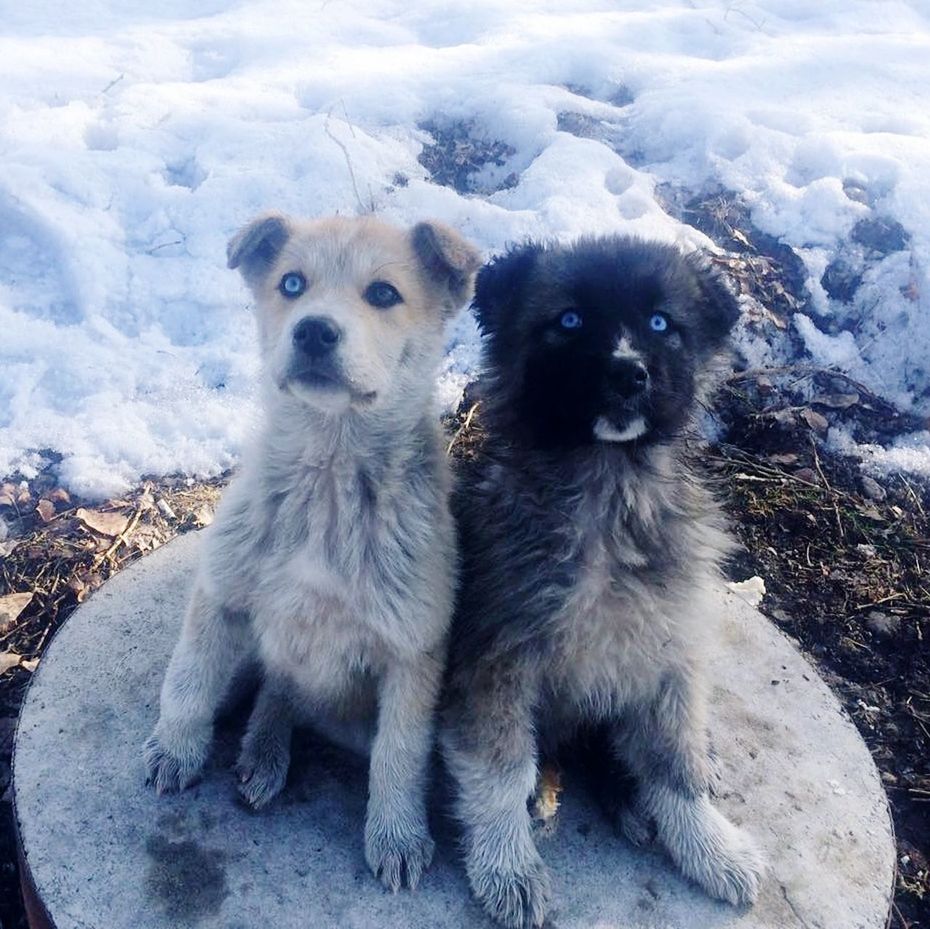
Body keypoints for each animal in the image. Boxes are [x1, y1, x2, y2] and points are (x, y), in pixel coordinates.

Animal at [147, 212, 478, 892]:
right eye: (292, 284)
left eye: (383, 294)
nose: (314, 330)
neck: (328, 475)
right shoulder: (220, 595)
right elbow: (188, 681)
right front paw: (175, 749)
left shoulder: (413, 652)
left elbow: (400, 757)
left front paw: (397, 836)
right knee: (271, 688)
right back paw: (262, 750)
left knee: (288, 696)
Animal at [440, 237, 760, 928]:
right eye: (569, 321)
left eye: (662, 324)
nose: (627, 374)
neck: (607, 491)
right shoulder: (494, 665)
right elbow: (500, 769)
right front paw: (507, 867)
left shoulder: (668, 659)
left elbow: (675, 764)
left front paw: (711, 847)